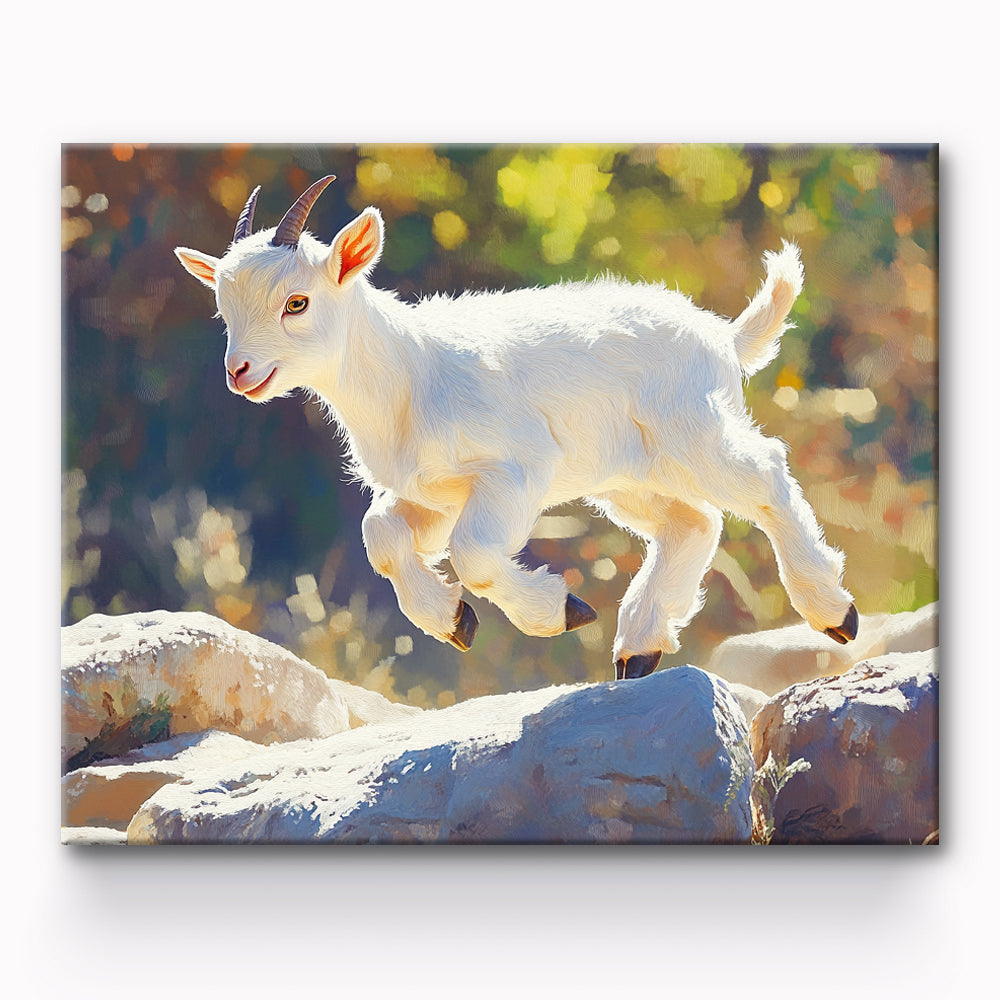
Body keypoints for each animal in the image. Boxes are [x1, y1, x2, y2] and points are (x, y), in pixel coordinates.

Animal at [175, 175, 857, 680]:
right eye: (222, 309)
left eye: (296, 302)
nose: (240, 372)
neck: (412, 373)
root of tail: (722, 337)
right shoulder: (434, 493)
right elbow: (382, 536)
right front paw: (455, 622)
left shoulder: (514, 469)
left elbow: (474, 553)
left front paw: (560, 610)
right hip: (627, 475)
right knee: (694, 521)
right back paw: (638, 650)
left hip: (692, 432)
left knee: (764, 473)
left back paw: (834, 613)